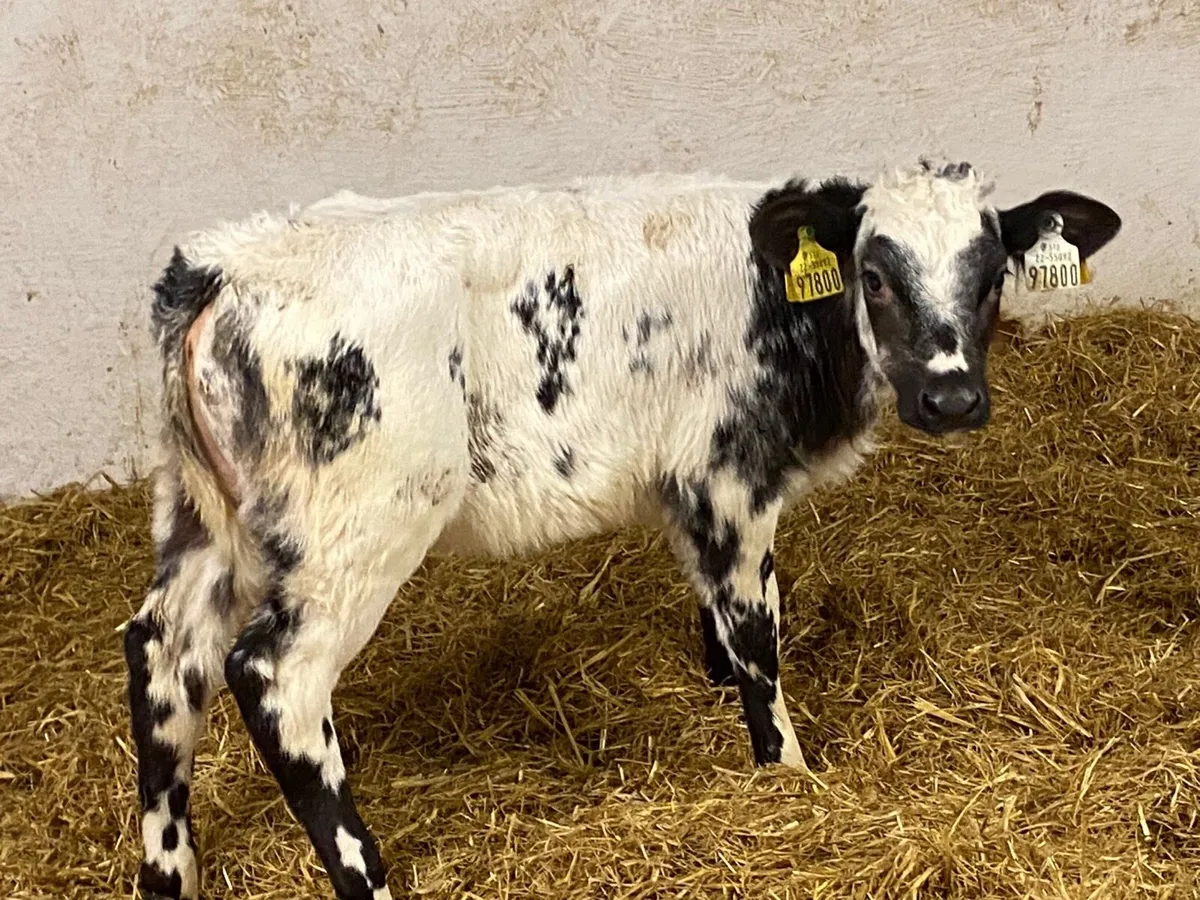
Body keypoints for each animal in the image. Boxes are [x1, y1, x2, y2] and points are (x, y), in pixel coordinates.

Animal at [123, 159, 1121, 899]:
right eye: (874, 275)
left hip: (200, 516)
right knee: (274, 678)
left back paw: (170, 875)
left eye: (992, 276)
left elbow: (727, 614)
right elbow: (758, 634)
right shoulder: (726, 476)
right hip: (354, 528)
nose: (952, 399)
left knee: (162, 653)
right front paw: (787, 773)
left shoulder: (690, 490)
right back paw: (369, 879)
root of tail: (223, 269)